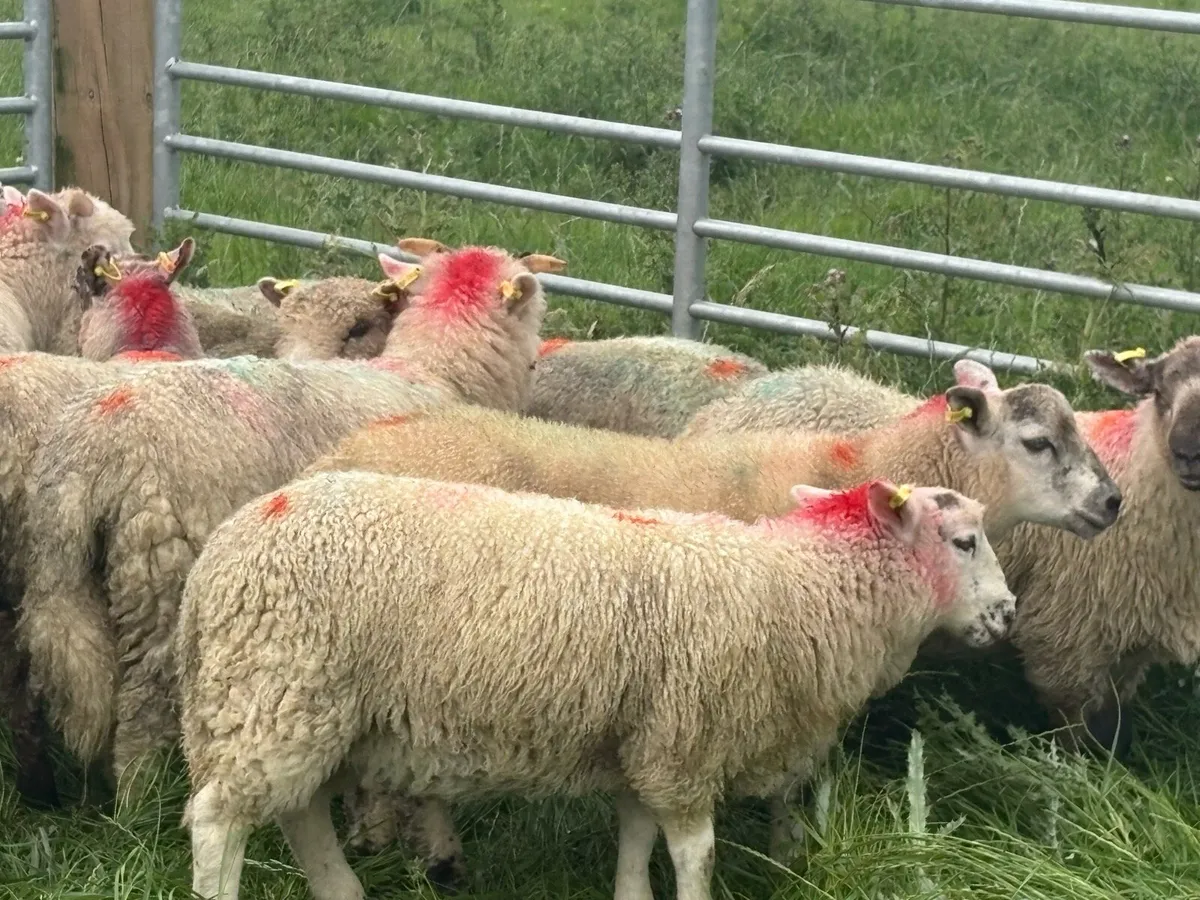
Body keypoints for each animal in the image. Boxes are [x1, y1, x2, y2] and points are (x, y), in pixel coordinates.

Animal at [17, 240, 562, 796]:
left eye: (358, 328)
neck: (435, 371)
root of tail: (96, 441)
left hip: (65, 571)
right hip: (160, 573)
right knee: (143, 704)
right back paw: (139, 796)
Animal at [175, 473, 1015, 900]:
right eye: (964, 541)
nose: (1007, 614)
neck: (797, 584)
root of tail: (220, 553)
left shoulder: (647, 738)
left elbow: (636, 836)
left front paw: (631, 895)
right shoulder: (686, 743)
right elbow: (696, 854)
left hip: (304, 710)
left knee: (299, 809)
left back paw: (339, 889)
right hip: (278, 688)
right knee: (219, 822)